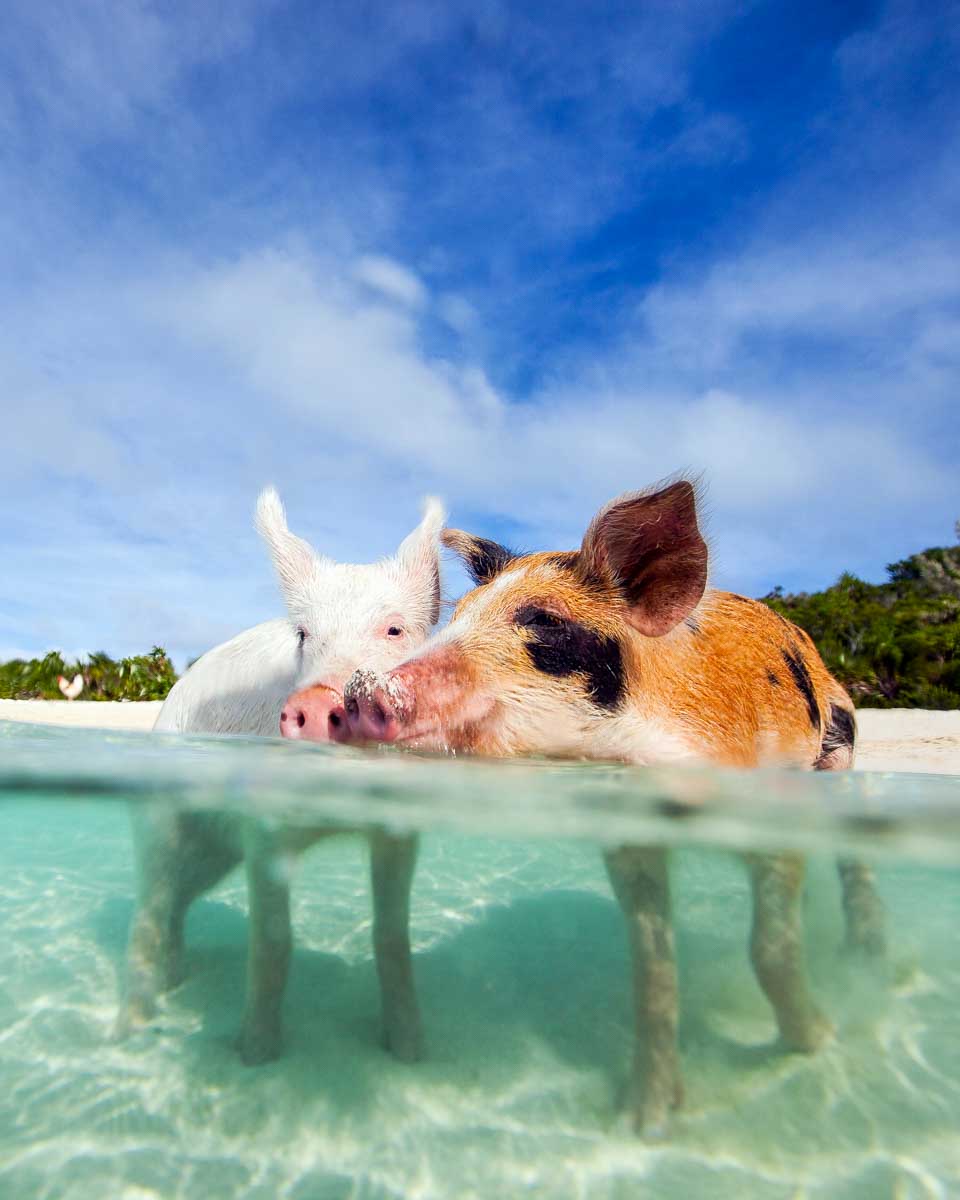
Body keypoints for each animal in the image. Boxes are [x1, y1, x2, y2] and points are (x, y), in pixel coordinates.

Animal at [119, 486, 443, 1066]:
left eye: (394, 628)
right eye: (303, 635)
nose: (314, 703)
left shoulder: (398, 828)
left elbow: (391, 936)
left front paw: (411, 1052)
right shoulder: (263, 827)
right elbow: (272, 940)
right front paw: (255, 1055)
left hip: (214, 854)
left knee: (177, 902)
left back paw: (177, 981)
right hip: (161, 815)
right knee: (149, 909)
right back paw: (130, 1033)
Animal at [339, 477, 886, 1134]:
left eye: (544, 622)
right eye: (459, 614)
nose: (359, 692)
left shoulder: (772, 809)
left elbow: (770, 948)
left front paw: (817, 1042)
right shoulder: (630, 839)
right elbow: (653, 967)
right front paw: (645, 1121)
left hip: (840, 749)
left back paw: (865, 957)